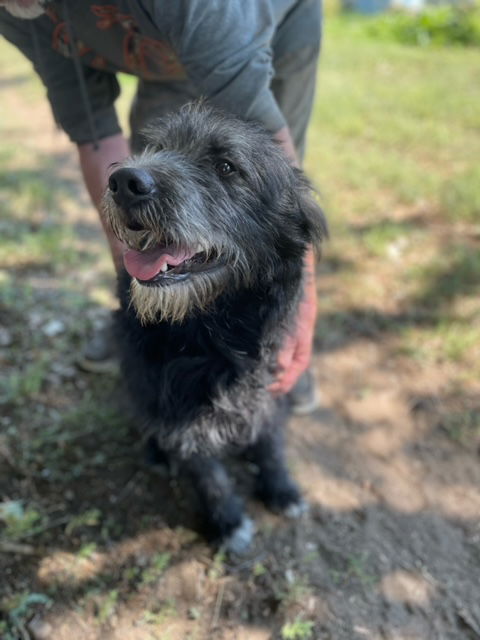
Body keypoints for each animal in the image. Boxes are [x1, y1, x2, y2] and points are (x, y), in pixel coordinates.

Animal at [102, 102, 326, 552]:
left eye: (226, 167)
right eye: (158, 148)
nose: (124, 182)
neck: (213, 332)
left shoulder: (270, 385)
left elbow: (271, 444)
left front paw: (281, 488)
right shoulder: (173, 405)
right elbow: (208, 474)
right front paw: (227, 521)